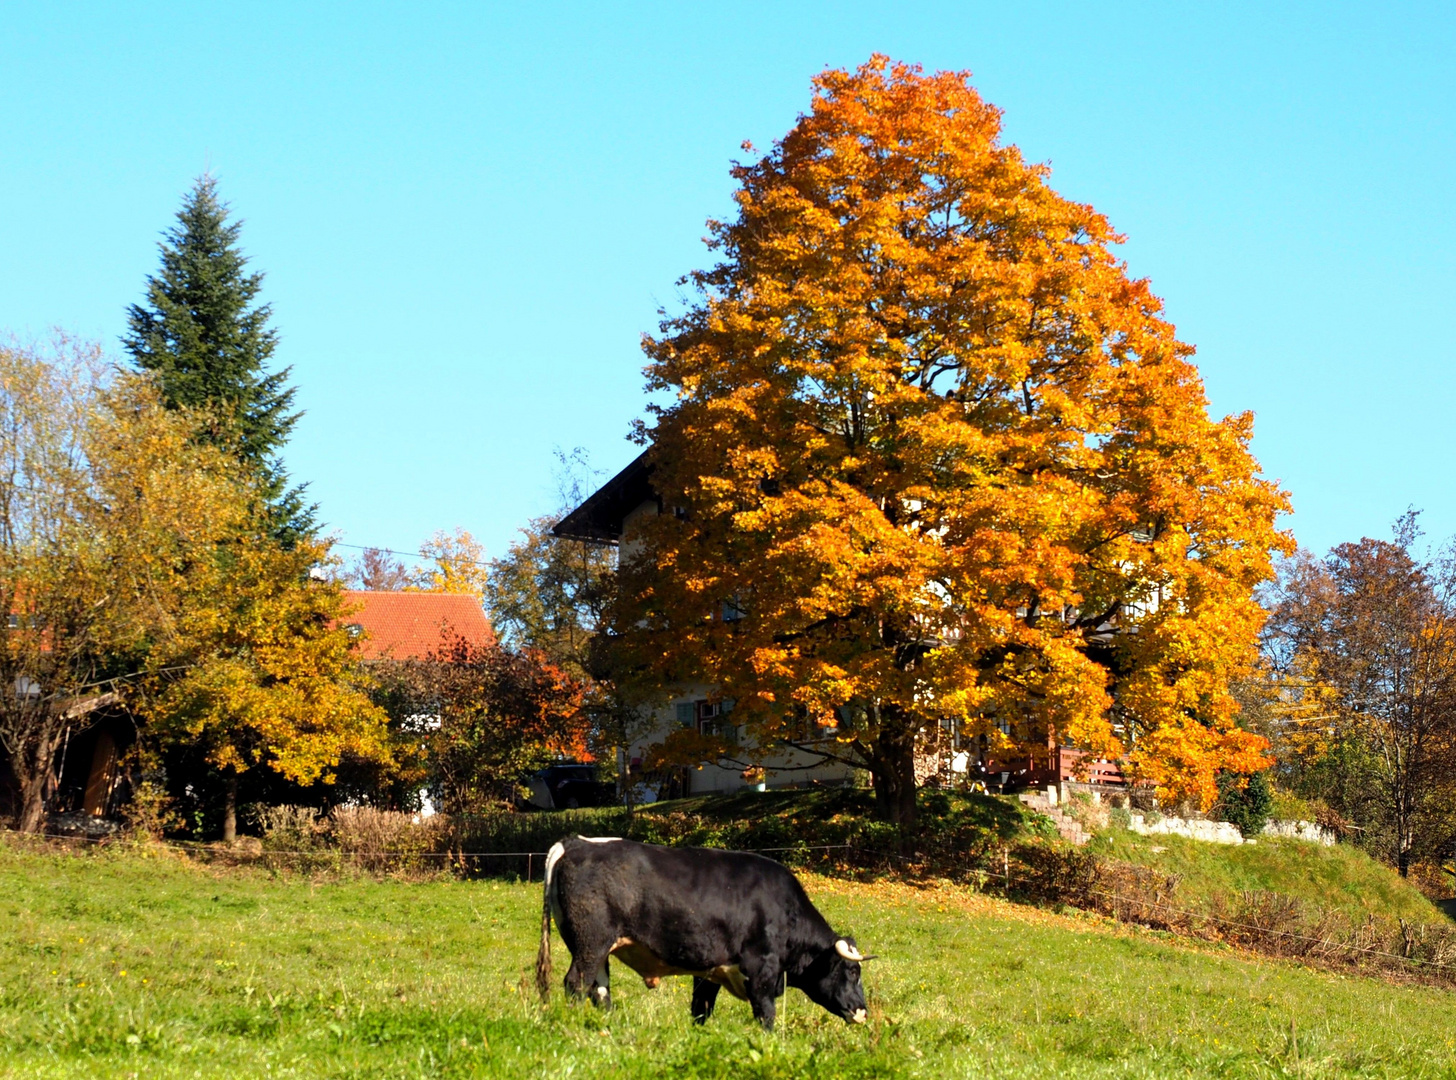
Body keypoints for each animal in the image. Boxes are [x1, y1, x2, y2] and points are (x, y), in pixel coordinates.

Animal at [538, 838, 867, 1030]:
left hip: (596, 949)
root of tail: (575, 842)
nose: (863, 1011)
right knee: (576, 984)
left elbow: (701, 1009)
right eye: (852, 971)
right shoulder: (761, 971)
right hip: (590, 943)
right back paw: (576, 1024)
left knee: (599, 989)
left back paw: (609, 1027)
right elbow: (766, 1014)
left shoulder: (710, 970)